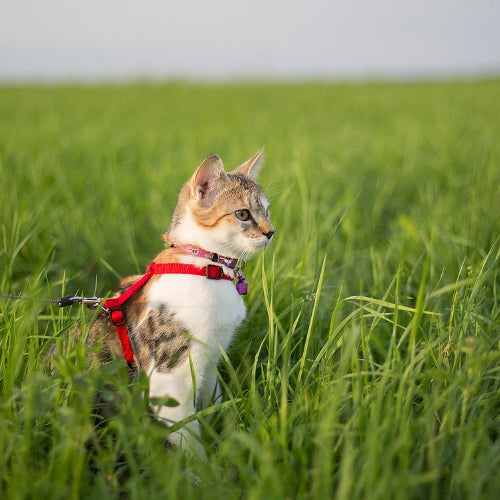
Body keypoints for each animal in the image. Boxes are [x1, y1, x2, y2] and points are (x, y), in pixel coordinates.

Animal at [86, 148, 274, 458]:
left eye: (267, 211)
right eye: (243, 214)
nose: (271, 232)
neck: (205, 266)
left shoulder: (212, 359)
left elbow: (211, 403)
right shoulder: (169, 378)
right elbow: (187, 434)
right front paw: (204, 469)